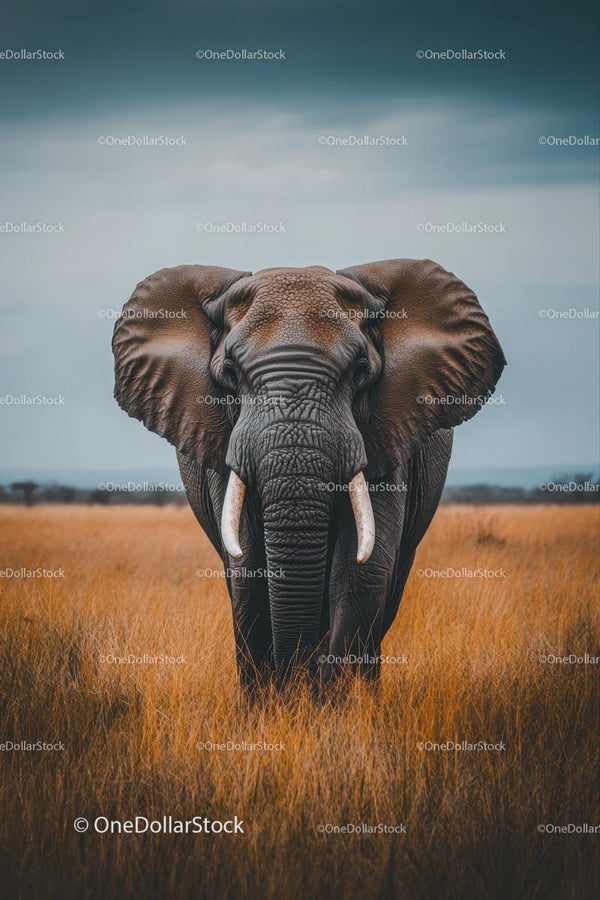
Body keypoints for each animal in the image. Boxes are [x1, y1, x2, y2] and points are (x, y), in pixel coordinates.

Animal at [112, 259, 505, 689]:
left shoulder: (388, 433)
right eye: (230, 373)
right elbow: (248, 573)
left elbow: (360, 573)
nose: (295, 675)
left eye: (360, 371)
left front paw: (331, 703)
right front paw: (273, 702)